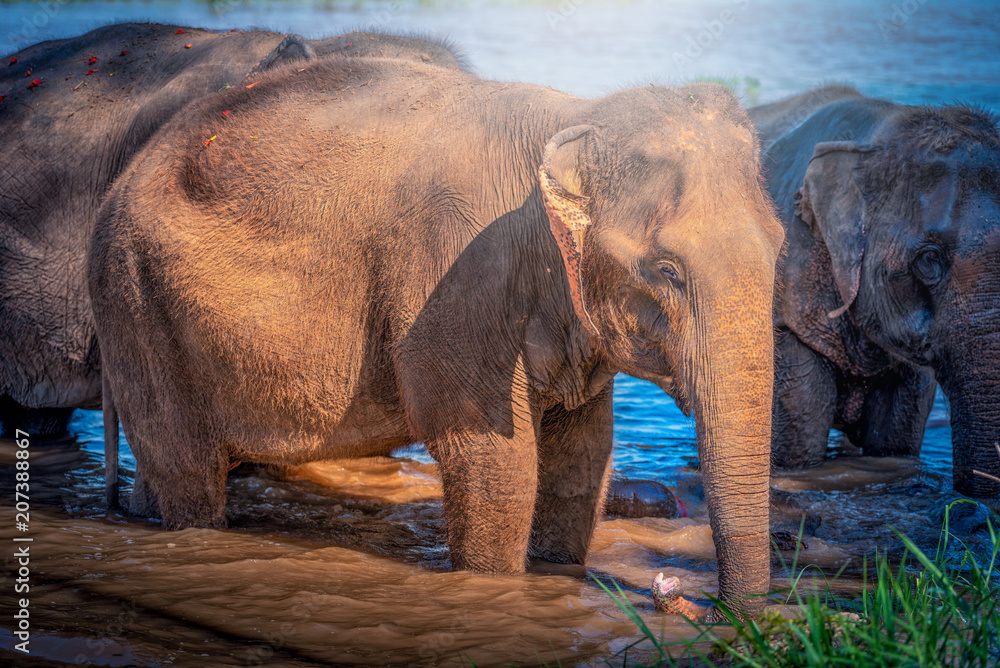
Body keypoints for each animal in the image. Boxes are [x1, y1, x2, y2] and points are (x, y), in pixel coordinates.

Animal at [90, 57, 784, 616]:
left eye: (780, 248)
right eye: (666, 270)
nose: (696, 605)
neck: (577, 114)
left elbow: (582, 457)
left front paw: (556, 569)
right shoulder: (456, 276)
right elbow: (495, 460)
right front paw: (495, 589)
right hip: (137, 305)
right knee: (187, 474)